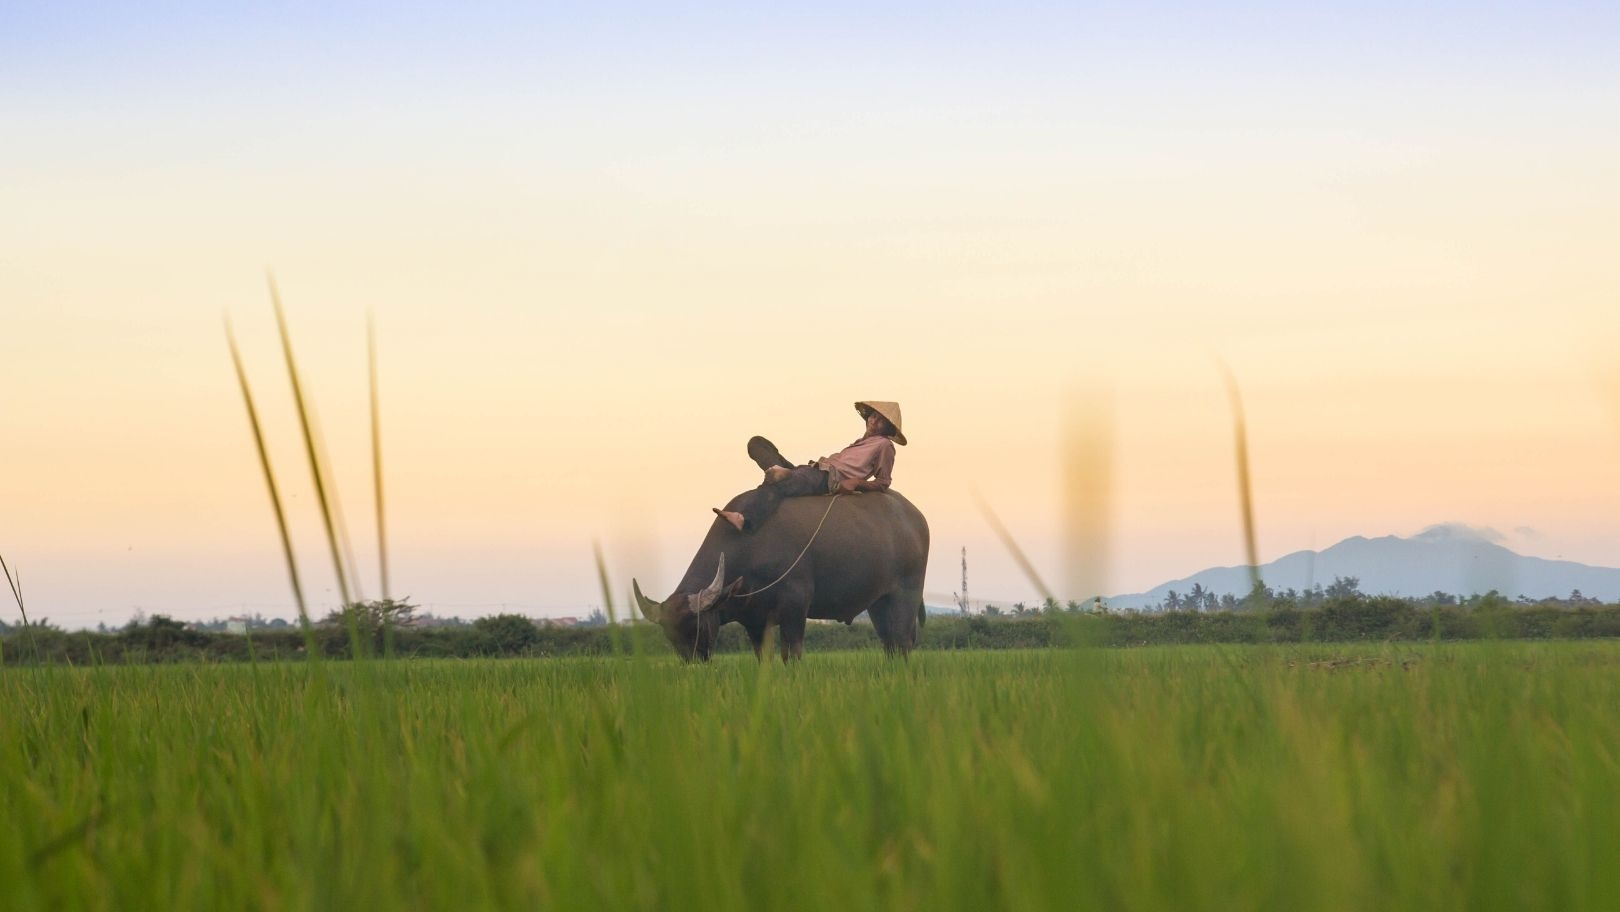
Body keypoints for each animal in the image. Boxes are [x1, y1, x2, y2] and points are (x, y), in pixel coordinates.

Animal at [635, 492, 939, 664]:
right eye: (670, 636)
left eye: (696, 627)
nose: (695, 664)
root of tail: (916, 517)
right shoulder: (755, 621)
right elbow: (764, 659)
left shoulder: (795, 607)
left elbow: (790, 654)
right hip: (878, 602)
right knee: (890, 643)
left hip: (906, 594)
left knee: (902, 641)